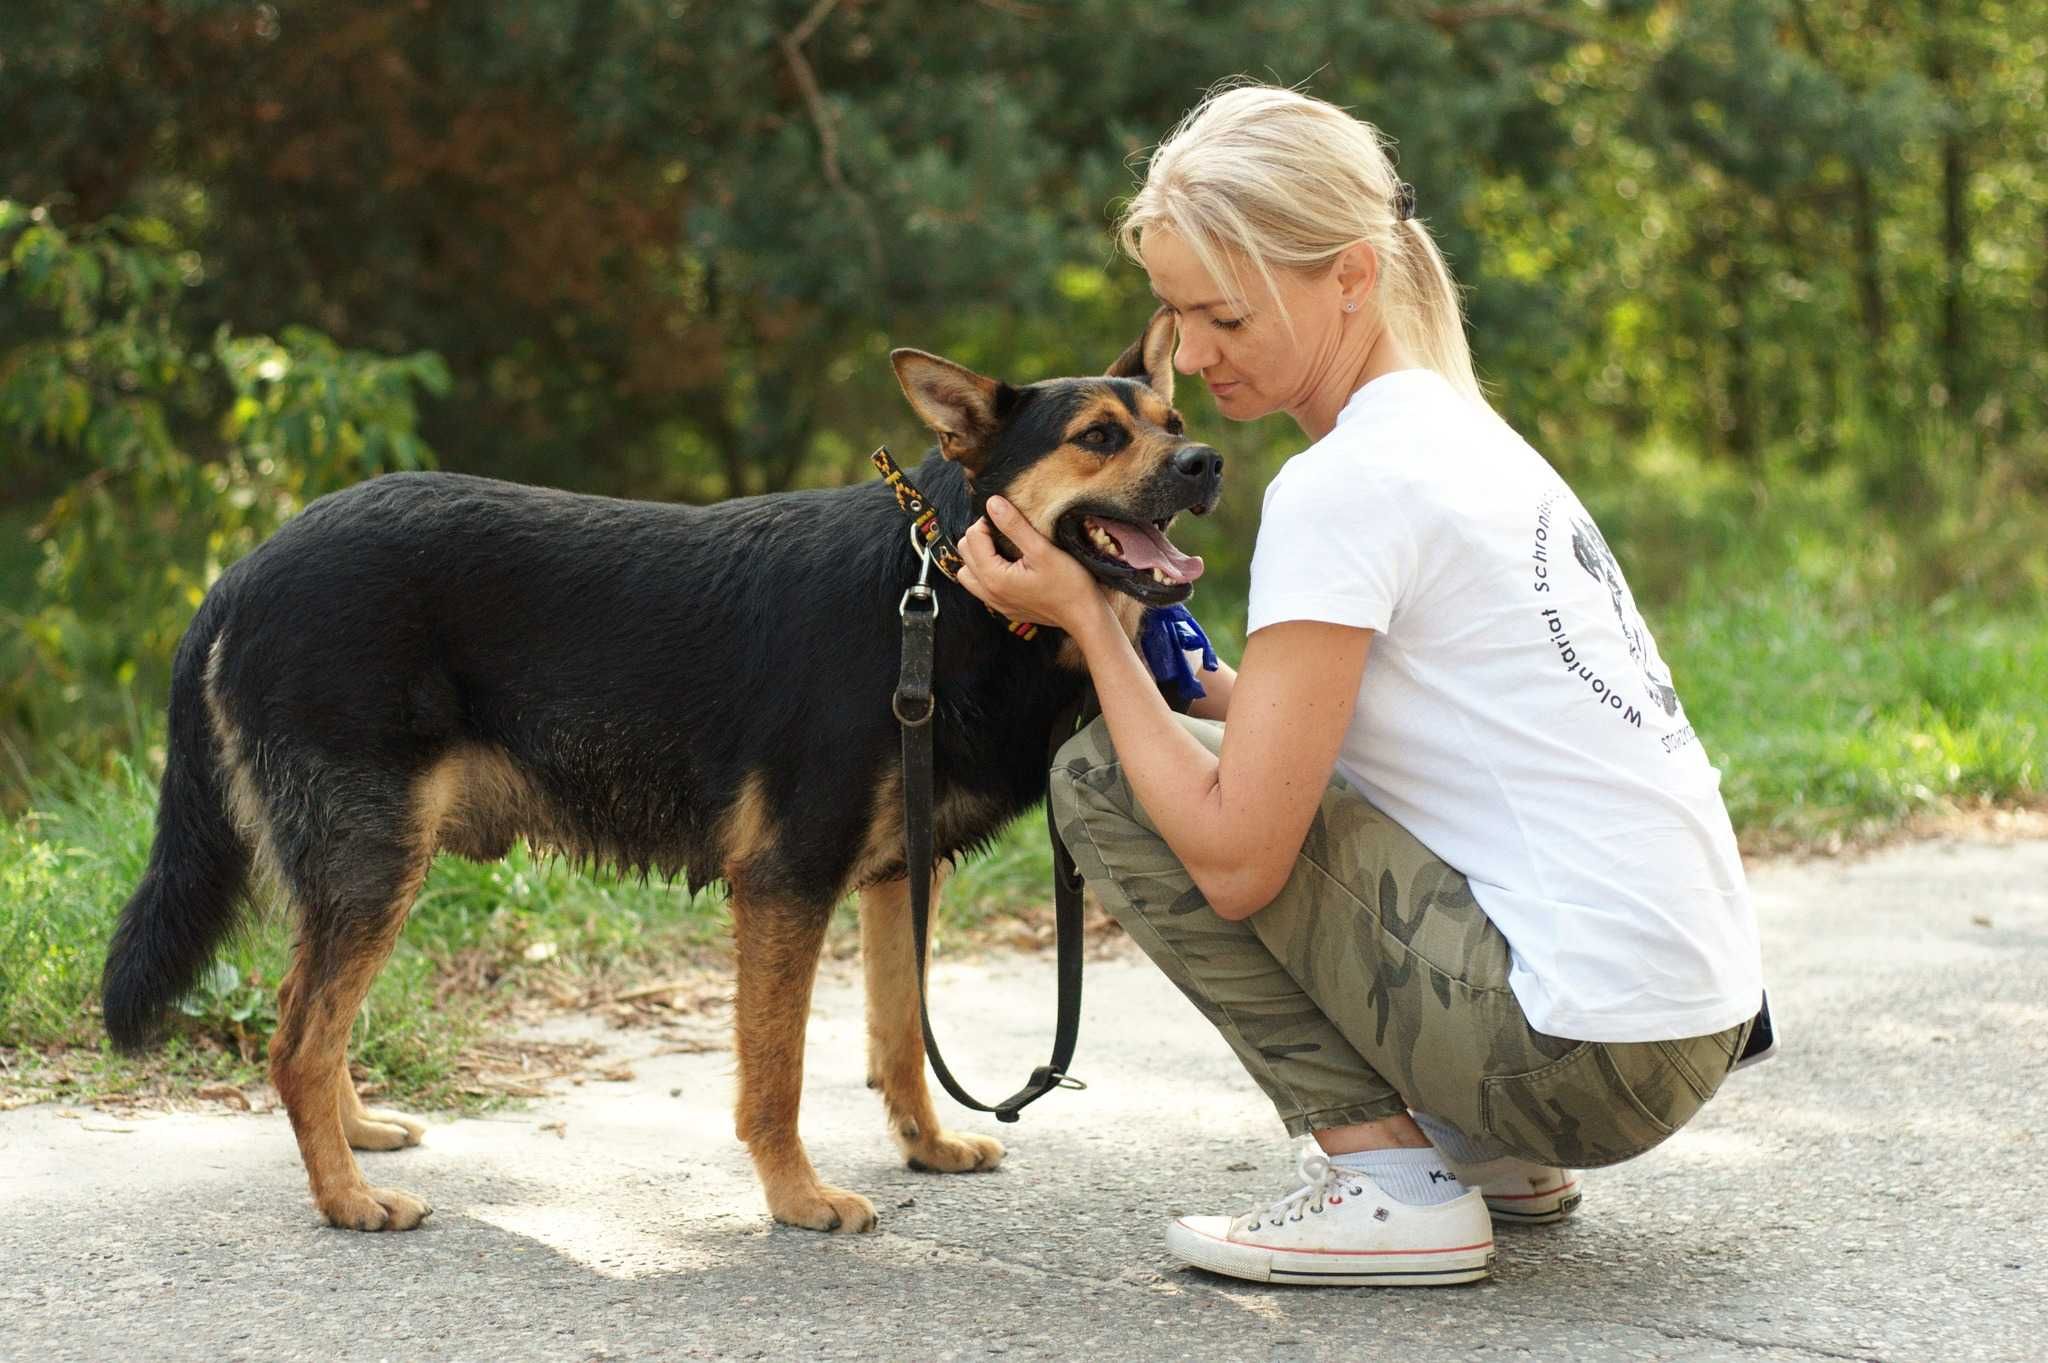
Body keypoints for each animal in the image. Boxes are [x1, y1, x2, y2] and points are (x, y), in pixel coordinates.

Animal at [99, 306, 1212, 1227]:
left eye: (1170, 417)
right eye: (1099, 438)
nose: (1204, 461)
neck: (941, 586)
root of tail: (243, 570)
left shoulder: (895, 881)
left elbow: (899, 1037)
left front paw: (924, 1145)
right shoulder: (784, 884)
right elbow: (778, 1073)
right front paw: (796, 1198)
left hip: (356, 869)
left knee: (311, 1022)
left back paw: (358, 1135)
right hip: (375, 862)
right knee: (296, 1041)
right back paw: (346, 1200)